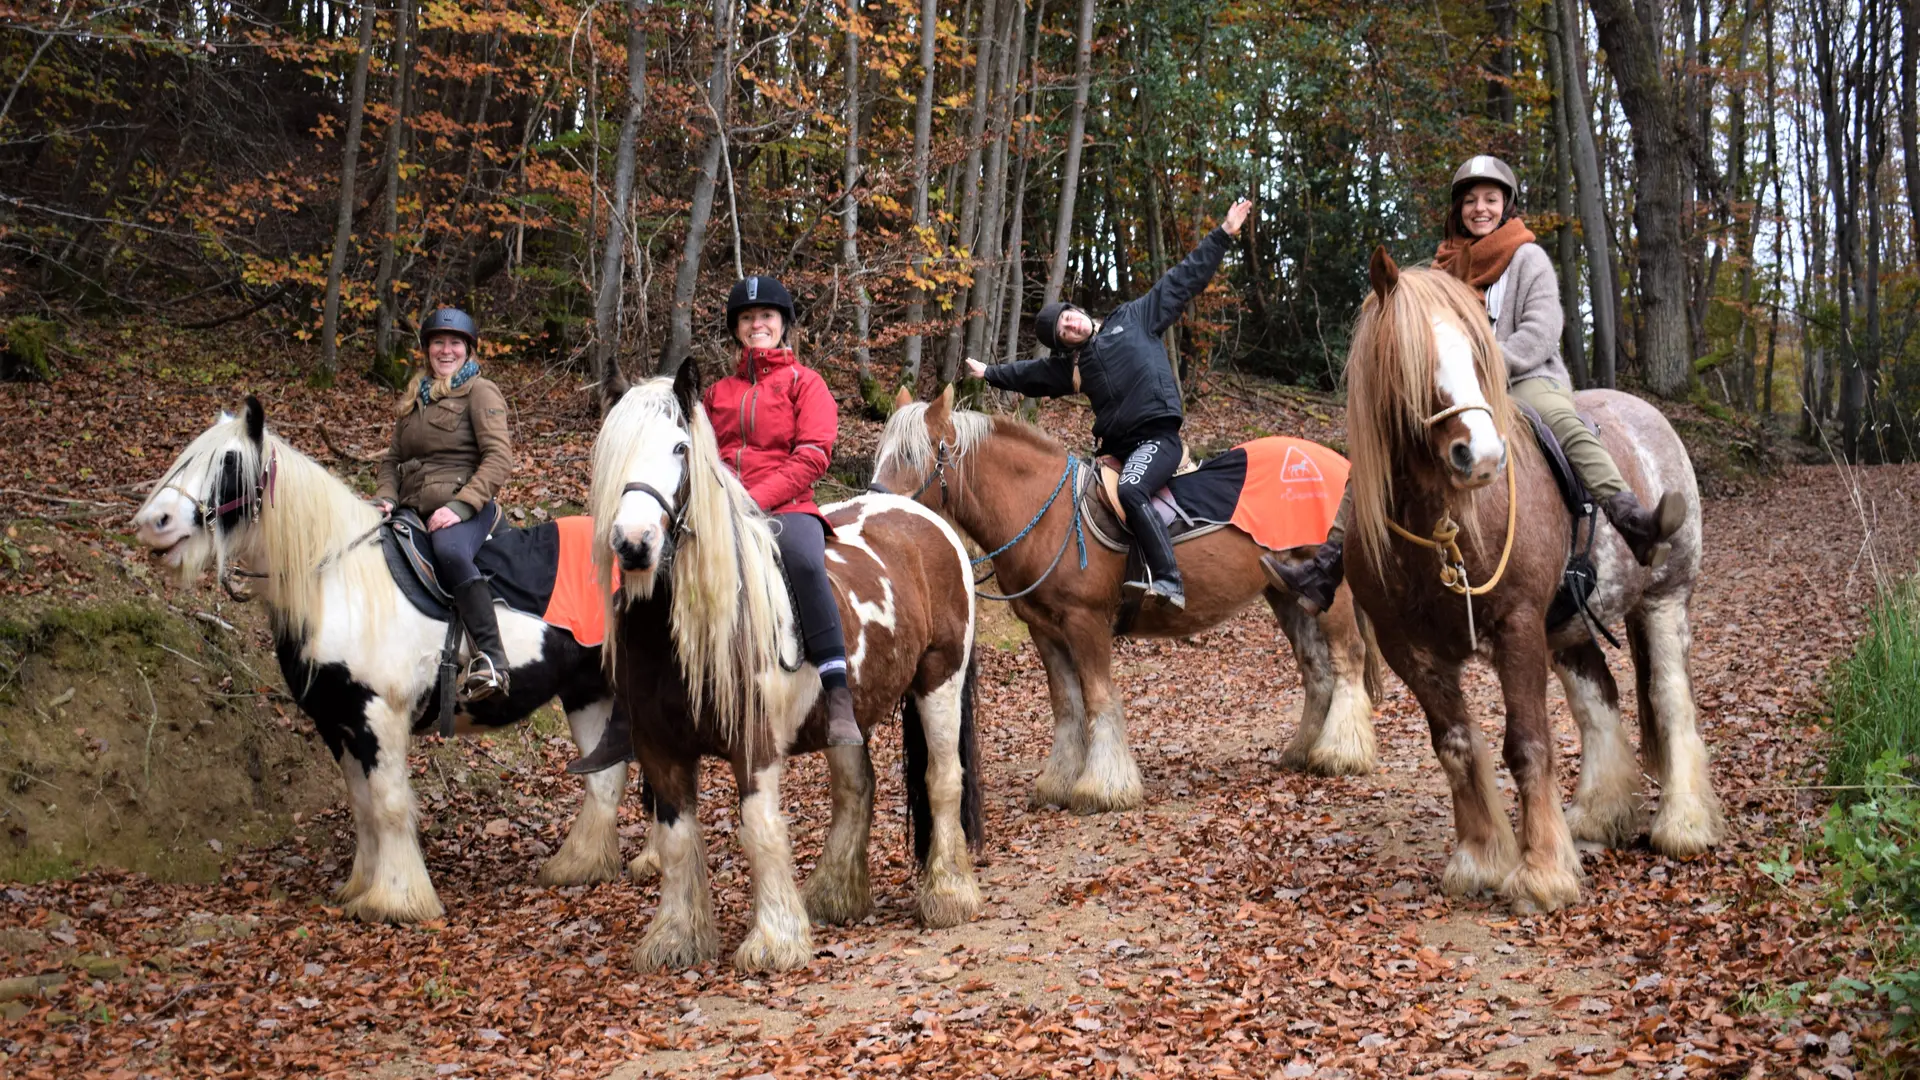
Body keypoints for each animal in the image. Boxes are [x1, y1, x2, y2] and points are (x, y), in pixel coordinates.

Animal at [132, 398, 640, 923]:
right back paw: (580, 866)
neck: (339, 581)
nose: (153, 522)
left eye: (229, 464)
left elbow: (390, 805)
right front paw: (361, 886)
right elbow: (363, 806)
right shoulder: (338, 721)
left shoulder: (378, 714)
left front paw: (396, 899)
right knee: (605, 778)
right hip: (588, 693)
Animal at [590, 367, 983, 972]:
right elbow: (676, 838)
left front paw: (775, 940)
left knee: (942, 780)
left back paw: (948, 894)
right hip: (847, 715)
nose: (634, 544)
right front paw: (676, 937)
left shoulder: (753, 744)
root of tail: (925, 520)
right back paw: (834, 893)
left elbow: (759, 828)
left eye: (680, 448)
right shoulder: (659, 747)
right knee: (856, 788)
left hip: (940, 680)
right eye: (611, 448)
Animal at [870, 386, 1378, 816]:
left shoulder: (1086, 623)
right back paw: (1304, 750)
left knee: (1347, 658)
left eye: (914, 455)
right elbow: (1067, 704)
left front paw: (1103, 787)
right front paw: (1059, 781)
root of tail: (1337, 464)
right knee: (1316, 667)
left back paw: (1342, 753)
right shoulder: (1044, 630)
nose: (875, 505)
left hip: (1331, 591)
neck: (1050, 515)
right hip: (1288, 593)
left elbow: (1099, 699)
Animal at [1339, 250, 1724, 912]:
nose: (1481, 457)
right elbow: (1457, 746)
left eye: (1477, 353)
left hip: (1665, 600)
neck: (1440, 526)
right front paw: (1480, 856)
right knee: (1599, 699)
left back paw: (1683, 824)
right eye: (1406, 356)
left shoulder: (1517, 627)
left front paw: (1542, 872)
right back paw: (1597, 815)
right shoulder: (1407, 649)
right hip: (1568, 627)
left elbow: (1526, 745)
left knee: (1671, 700)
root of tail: (1651, 416)